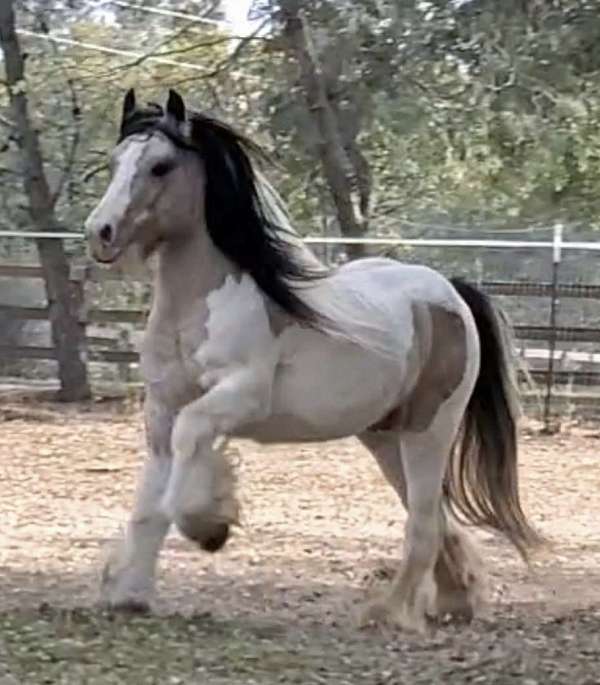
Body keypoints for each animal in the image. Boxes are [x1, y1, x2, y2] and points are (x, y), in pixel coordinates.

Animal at [84, 88, 540, 632]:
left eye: (160, 166)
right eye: (115, 162)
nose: (100, 232)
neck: (198, 307)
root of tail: (450, 293)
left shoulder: (239, 396)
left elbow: (189, 451)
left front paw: (211, 525)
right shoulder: (161, 407)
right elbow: (149, 505)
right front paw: (128, 593)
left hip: (430, 430)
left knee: (424, 523)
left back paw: (387, 613)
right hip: (384, 437)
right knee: (435, 518)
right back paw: (456, 601)